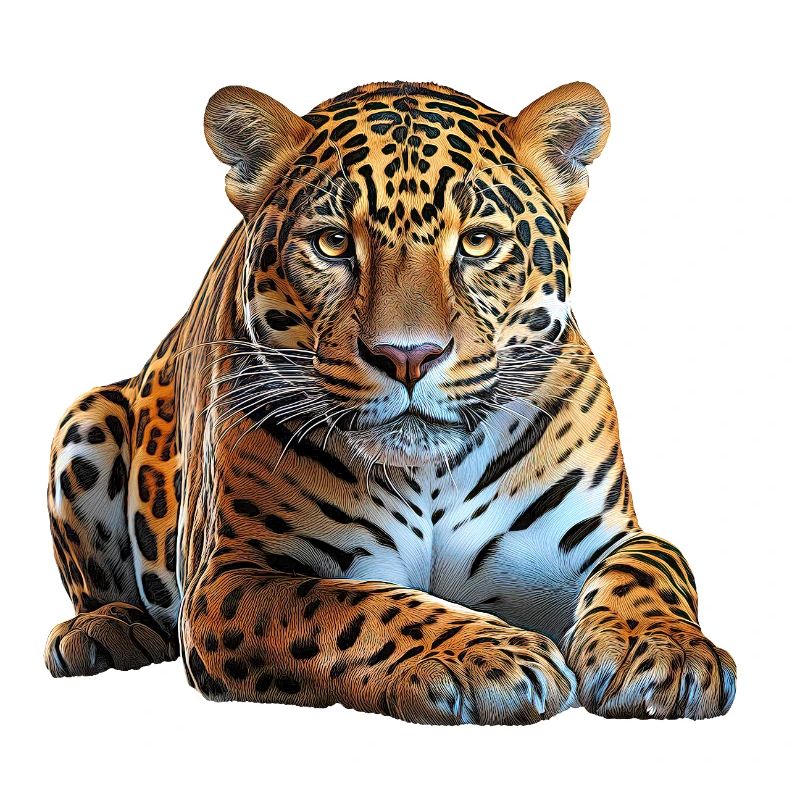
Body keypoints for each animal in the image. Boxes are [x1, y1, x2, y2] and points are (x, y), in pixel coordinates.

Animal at [44, 80, 736, 723]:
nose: (408, 356)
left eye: (479, 243)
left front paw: (661, 652)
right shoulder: (233, 578)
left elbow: (656, 564)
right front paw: (488, 656)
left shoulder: (601, 537)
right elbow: (357, 606)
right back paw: (103, 633)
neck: (430, 474)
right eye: (331, 244)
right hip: (88, 419)